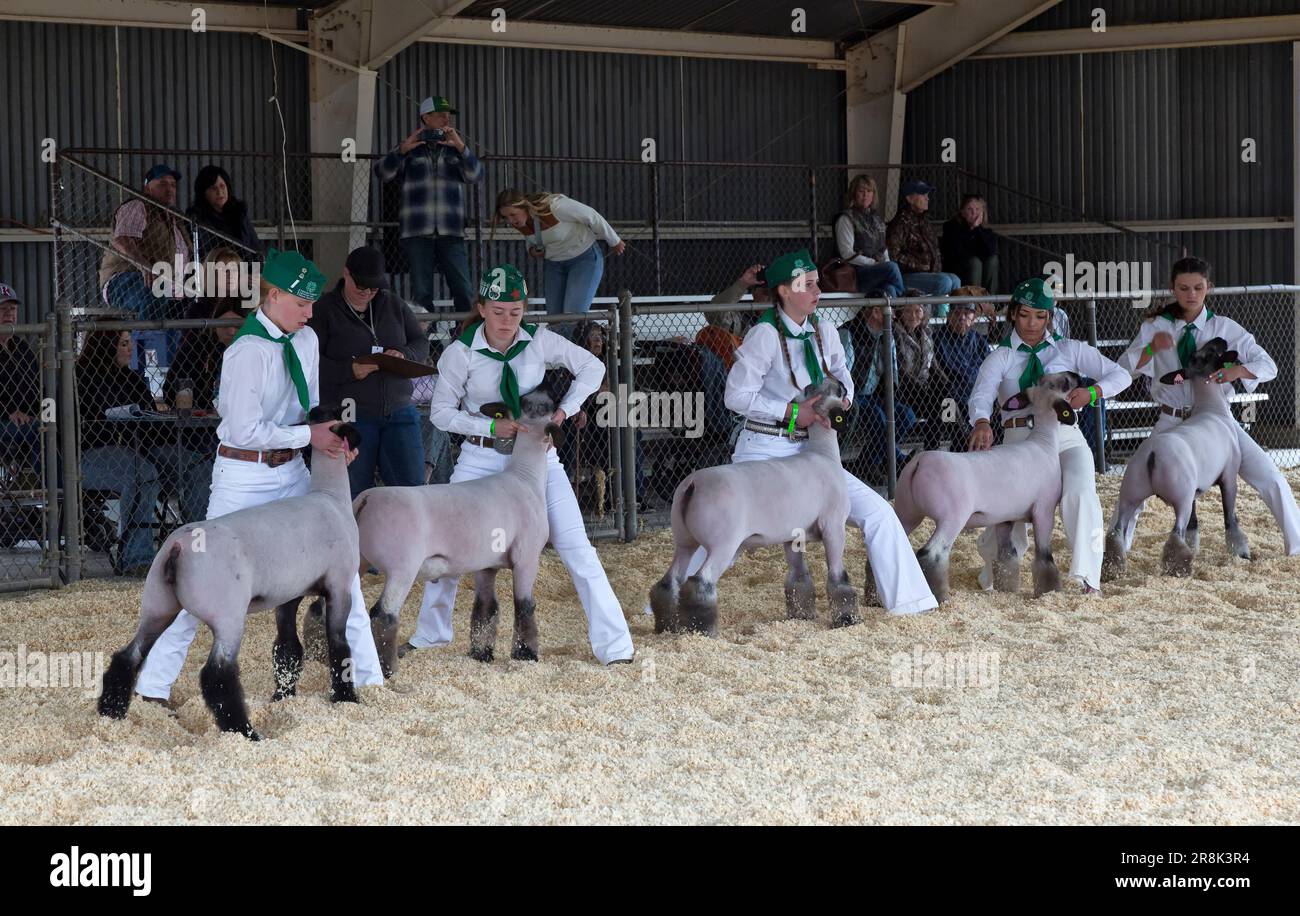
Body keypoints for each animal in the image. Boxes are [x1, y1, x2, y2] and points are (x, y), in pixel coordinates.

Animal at [98, 407, 364, 737]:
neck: (330, 496)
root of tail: (178, 548)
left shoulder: (289, 594)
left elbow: (287, 648)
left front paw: (283, 698)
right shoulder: (340, 585)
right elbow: (339, 647)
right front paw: (346, 699)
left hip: (157, 604)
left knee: (129, 655)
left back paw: (111, 712)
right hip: (227, 615)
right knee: (217, 676)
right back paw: (245, 731)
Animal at [356, 389, 559, 675]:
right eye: (543, 404)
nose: (546, 389)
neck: (525, 477)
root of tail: (366, 499)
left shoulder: (487, 564)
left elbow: (486, 607)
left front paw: (481, 653)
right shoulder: (527, 558)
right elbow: (525, 607)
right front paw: (526, 655)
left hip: (355, 561)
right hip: (401, 568)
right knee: (383, 615)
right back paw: (387, 670)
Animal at [647, 374, 852, 636]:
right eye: (836, 389)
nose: (842, 382)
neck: (823, 453)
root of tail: (692, 485)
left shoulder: (793, 536)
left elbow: (799, 576)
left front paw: (801, 615)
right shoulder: (834, 526)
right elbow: (838, 577)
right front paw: (847, 619)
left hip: (684, 541)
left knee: (669, 581)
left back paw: (668, 626)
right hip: (724, 544)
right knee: (701, 581)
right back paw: (702, 630)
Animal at [894, 371, 1076, 600]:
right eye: (1064, 383)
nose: (1076, 375)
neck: (1044, 442)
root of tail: (919, 461)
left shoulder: (1005, 518)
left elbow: (1007, 556)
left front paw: (1007, 588)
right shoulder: (1044, 510)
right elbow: (1045, 557)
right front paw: (1049, 591)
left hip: (906, 510)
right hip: (952, 517)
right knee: (931, 554)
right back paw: (940, 598)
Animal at [1107, 335, 1248, 579]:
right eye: (1211, 352)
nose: (1220, 339)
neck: (1211, 408)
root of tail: (1152, 455)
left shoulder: (1195, 492)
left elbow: (1194, 524)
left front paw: (1195, 548)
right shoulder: (1229, 476)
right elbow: (1230, 518)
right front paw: (1240, 552)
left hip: (1131, 492)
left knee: (1117, 531)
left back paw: (1113, 569)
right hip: (1180, 495)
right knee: (1175, 533)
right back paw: (1179, 569)